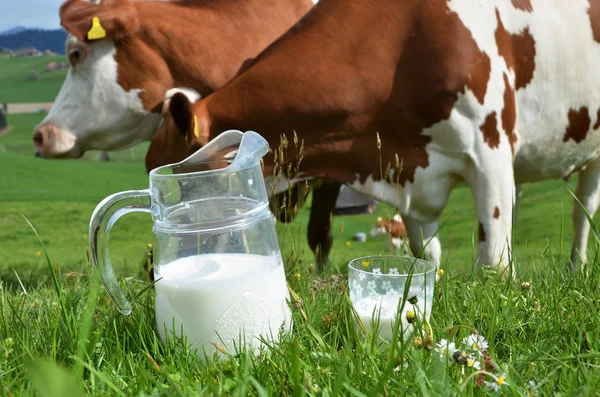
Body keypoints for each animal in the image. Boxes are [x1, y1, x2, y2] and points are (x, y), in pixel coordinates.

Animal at [146, 0, 600, 278]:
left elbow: (493, 262)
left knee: (583, 212)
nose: (153, 272)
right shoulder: (410, 171)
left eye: (186, 185)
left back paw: (578, 268)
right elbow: (426, 254)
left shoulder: (490, 151)